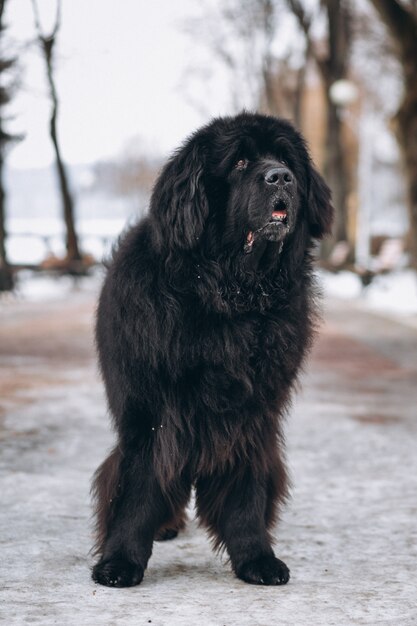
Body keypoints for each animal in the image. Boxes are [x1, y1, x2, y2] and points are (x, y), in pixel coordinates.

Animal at [91, 111, 332, 584]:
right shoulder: (152, 413)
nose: (281, 177)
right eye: (239, 162)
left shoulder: (252, 415)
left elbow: (245, 491)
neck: (231, 297)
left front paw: (256, 557)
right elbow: (138, 487)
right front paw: (120, 561)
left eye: (285, 158)